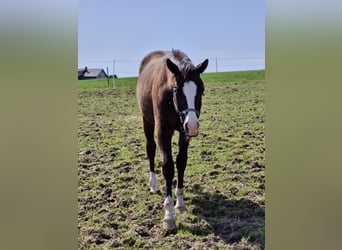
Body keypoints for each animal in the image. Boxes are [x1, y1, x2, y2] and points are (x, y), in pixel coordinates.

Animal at [136, 49, 208, 231]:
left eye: (201, 90)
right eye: (176, 89)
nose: (193, 125)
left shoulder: (184, 132)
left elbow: (181, 162)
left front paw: (180, 203)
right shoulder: (163, 131)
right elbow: (168, 167)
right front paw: (168, 215)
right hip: (146, 121)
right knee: (150, 149)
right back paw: (153, 184)